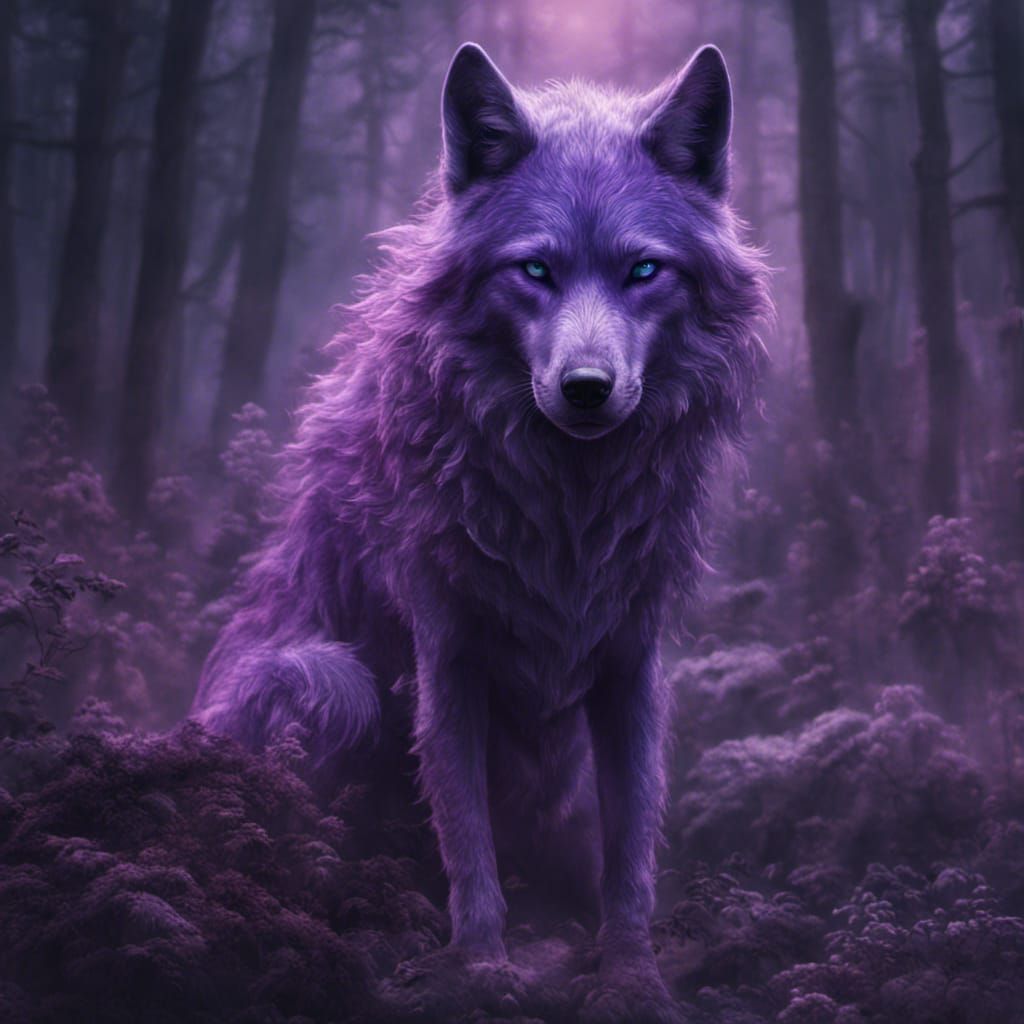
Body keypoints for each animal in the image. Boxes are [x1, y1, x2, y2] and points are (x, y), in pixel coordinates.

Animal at [192, 41, 769, 1017]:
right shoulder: (448, 662)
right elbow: (468, 843)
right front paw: (482, 972)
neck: (567, 508)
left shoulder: (633, 668)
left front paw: (632, 977)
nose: (586, 388)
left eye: (643, 272)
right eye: (534, 271)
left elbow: (632, 857)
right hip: (314, 678)